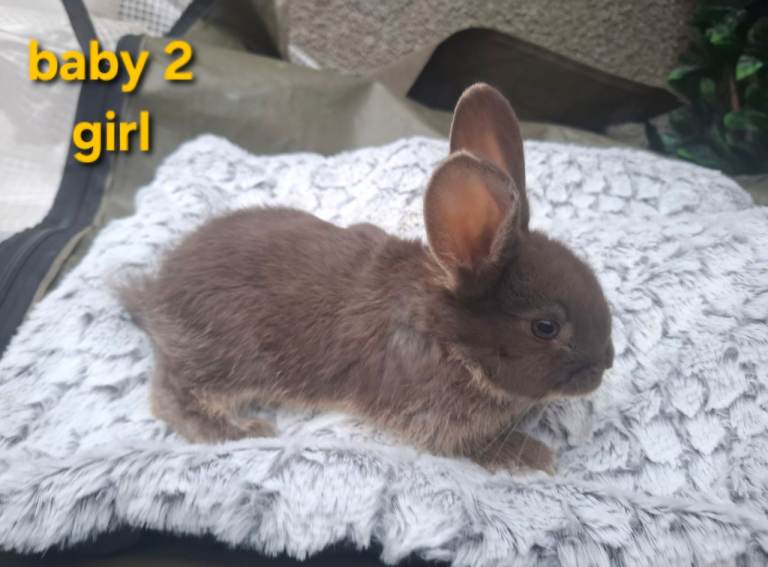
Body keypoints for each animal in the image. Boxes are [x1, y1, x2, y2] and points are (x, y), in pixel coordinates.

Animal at [120, 83, 613, 474]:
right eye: (545, 327)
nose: (606, 364)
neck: (445, 334)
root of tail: (155, 294)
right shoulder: (435, 422)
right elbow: (473, 448)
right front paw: (535, 457)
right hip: (223, 359)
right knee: (170, 396)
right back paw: (238, 431)